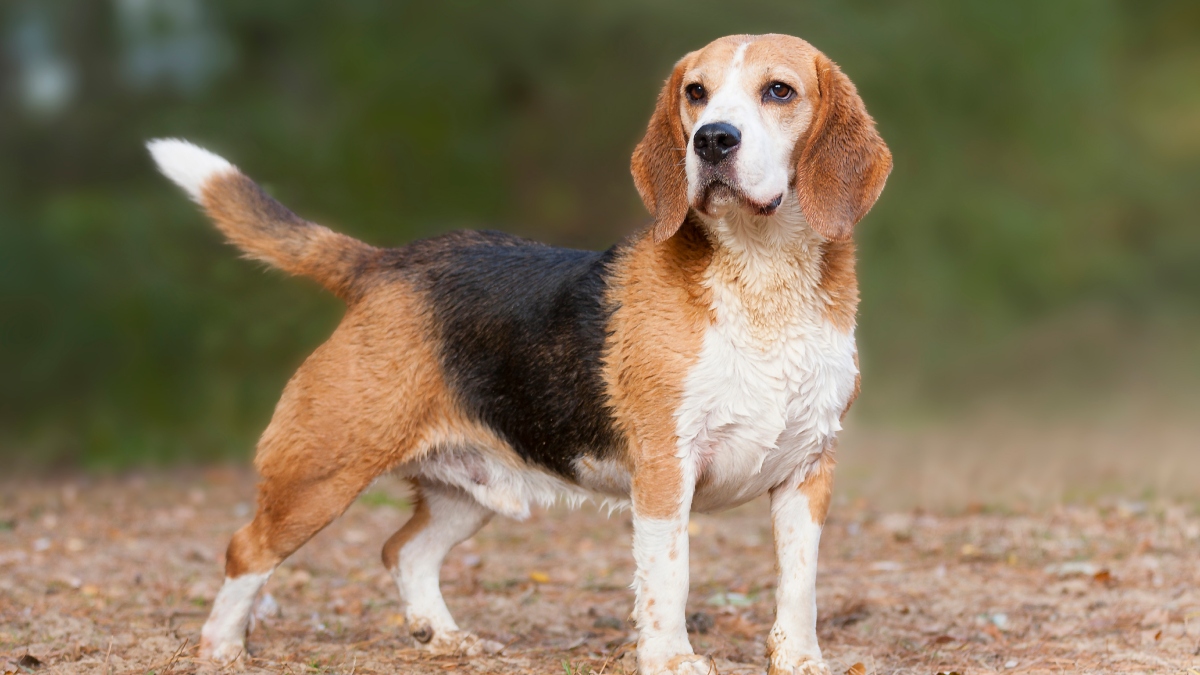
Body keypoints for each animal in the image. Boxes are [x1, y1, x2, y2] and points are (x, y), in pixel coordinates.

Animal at [147, 34, 892, 672]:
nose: (713, 139)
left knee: (404, 550)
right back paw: (222, 648)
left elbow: (799, 585)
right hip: (320, 472)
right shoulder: (664, 470)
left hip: (466, 489)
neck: (764, 278)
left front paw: (800, 660)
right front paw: (672, 660)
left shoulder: (807, 471)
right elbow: (668, 578)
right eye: (696, 93)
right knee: (248, 549)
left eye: (778, 91)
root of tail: (387, 262)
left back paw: (444, 636)